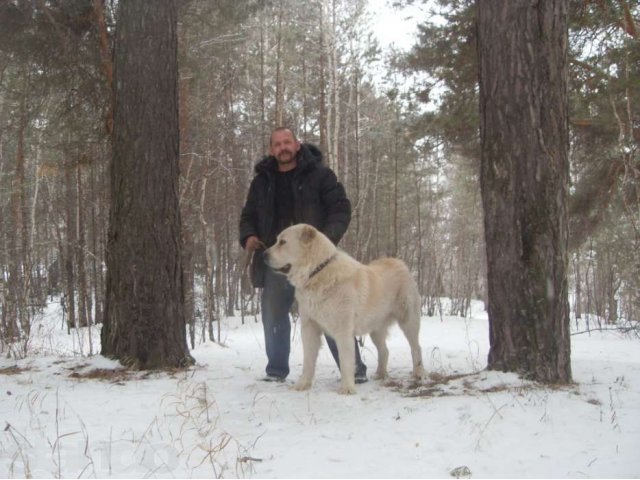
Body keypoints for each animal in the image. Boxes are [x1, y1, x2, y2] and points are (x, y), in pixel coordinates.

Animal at [262, 222, 428, 394]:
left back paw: (419, 372)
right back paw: (380, 374)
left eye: (283, 242)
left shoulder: (343, 331)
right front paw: (302, 385)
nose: (262, 255)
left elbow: (345, 360)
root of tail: (400, 263)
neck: (317, 271)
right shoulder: (309, 328)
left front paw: (347, 388)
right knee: (384, 351)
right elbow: (308, 361)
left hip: (408, 321)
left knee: (416, 347)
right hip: (375, 329)